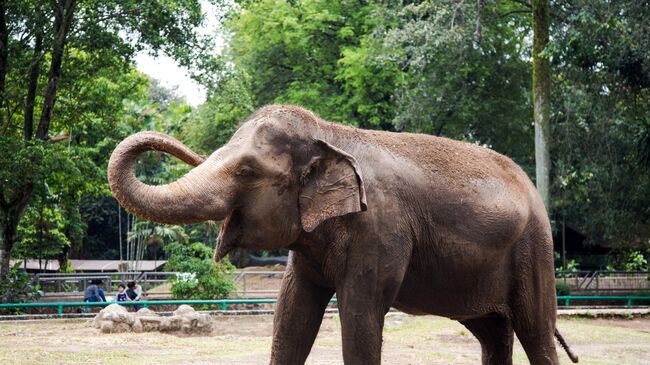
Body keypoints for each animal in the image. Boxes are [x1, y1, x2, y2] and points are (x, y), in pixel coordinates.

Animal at [107, 104, 576, 362]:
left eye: (246, 171)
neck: (329, 133)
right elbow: (291, 315)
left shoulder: (379, 230)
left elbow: (360, 316)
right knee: (492, 332)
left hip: (535, 250)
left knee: (535, 331)